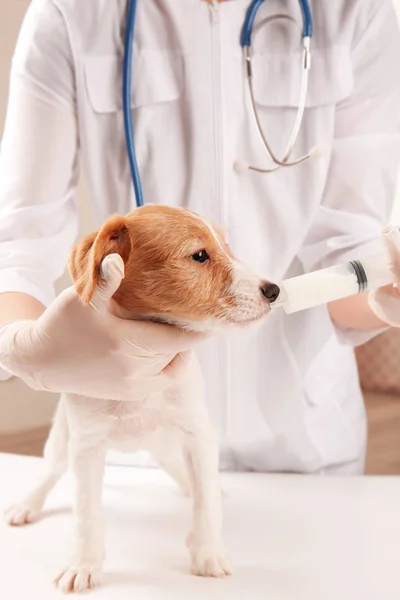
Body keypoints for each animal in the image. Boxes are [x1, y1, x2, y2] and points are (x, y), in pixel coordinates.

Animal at [3, 209, 278, 592]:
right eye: (199, 255)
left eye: (226, 246)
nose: (274, 290)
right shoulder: (86, 447)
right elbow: (86, 514)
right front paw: (83, 563)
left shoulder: (198, 432)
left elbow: (206, 504)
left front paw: (208, 552)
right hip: (61, 438)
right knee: (51, 470)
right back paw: (27, 504)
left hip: (167, 440)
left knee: (181, 468)